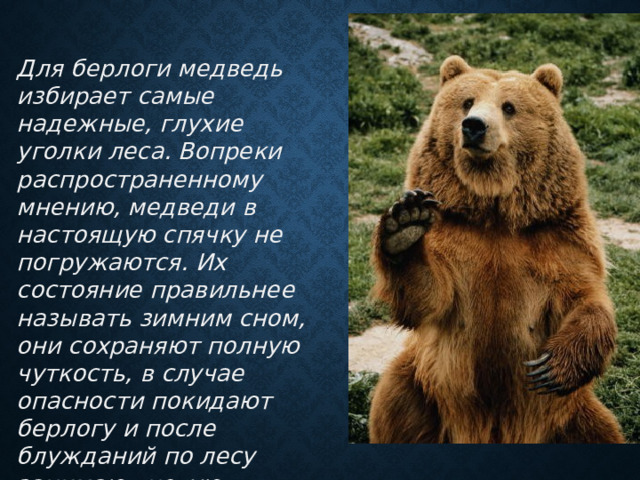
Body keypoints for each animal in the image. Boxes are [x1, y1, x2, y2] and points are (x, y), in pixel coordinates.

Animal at [368, 55, 624, 444]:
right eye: (467, 101)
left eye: (509, 107)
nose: (473, 126)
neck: (496, 213)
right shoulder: (454, 240)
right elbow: (428, 295)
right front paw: (405, 223)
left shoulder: (556, 238)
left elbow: (585, 297)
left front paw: (550, 367)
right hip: (423, 384)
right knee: (395, 404)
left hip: (572, 414)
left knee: (600, 431)